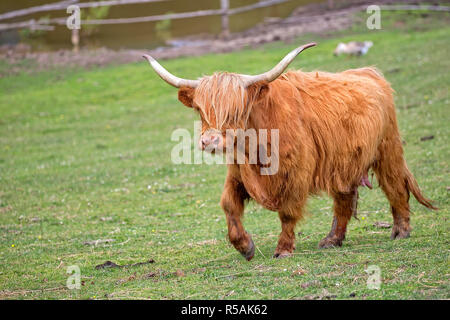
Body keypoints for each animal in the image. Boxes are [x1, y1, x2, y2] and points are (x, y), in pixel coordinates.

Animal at [144, 42, 436, 260]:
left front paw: (283, 249)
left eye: (237, 110)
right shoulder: (237, 174)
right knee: (344, 199)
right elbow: (229, 205)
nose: (210, 141)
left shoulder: (296, 175)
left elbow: (287, 213)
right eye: (199, 109)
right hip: (344, 162)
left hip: (388, 149)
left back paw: (400, 231)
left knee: (395, 186)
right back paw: (332, 239)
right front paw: (245, 246)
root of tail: (368, 72)